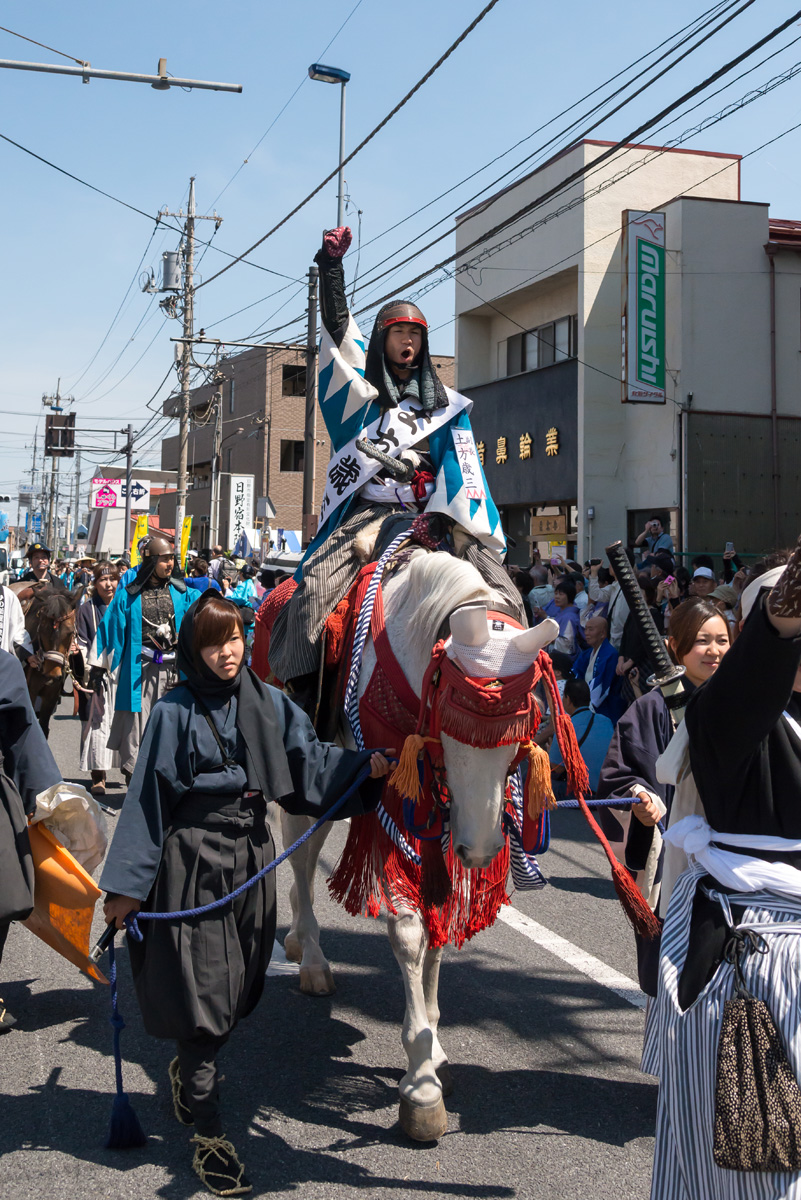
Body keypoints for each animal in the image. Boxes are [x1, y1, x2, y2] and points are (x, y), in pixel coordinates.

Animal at [281, 549, 556, 1137]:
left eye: (523, 732)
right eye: (450, 728)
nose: (480, 849)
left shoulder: (445, 818)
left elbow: (438, 924)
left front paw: (436, 1048)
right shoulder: (396, 797)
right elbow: (409, 933)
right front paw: (421, 1084)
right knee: (301, 860)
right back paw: (310, 958)